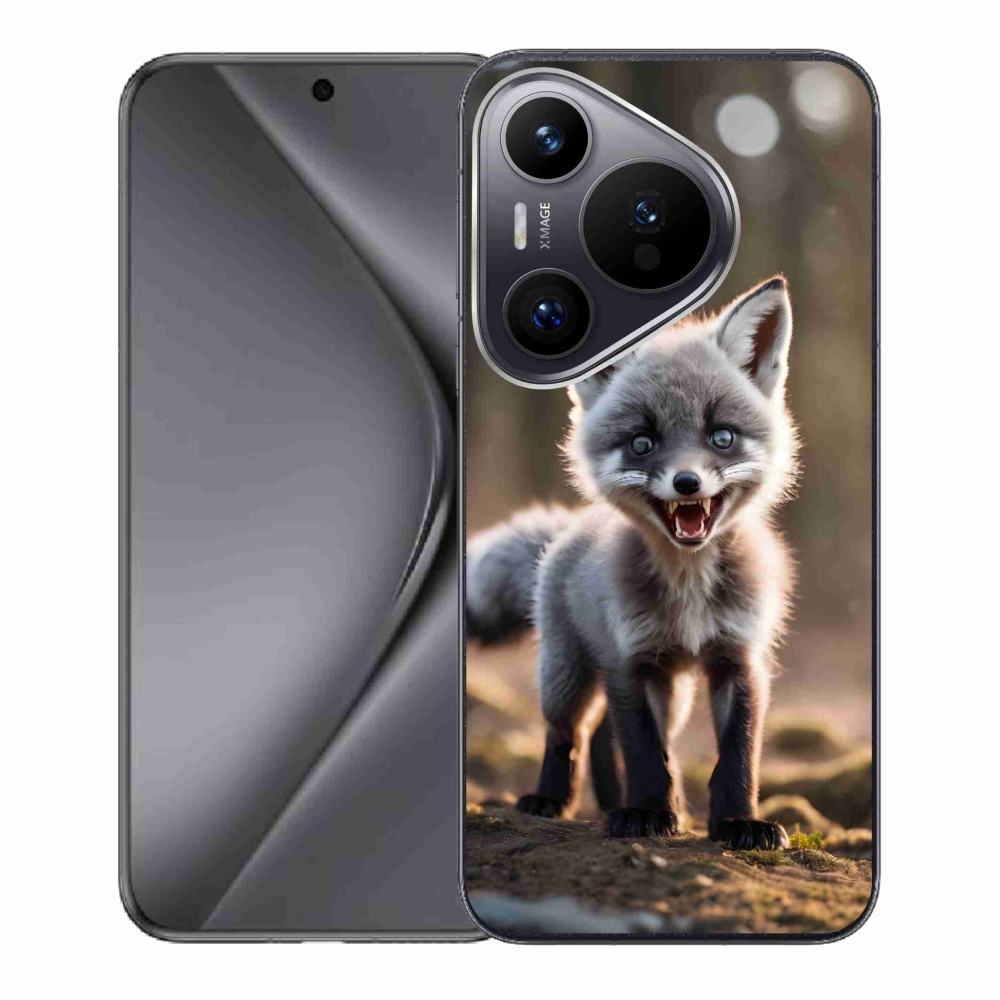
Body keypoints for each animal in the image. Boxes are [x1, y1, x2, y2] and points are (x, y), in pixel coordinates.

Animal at [467, 277, 800, 849]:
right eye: (642, 443)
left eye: (722, 436)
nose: (687, 483)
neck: (688, 589)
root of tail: (568, 529)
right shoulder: (630, 659)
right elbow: (645, 752)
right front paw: (645, 812)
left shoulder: (739, 659)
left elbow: (736, 757)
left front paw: (738, 823)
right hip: (566, 675)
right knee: (569, 732)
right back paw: (551, 799)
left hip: (673, 690)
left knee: (606, 733)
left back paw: (621, 801)